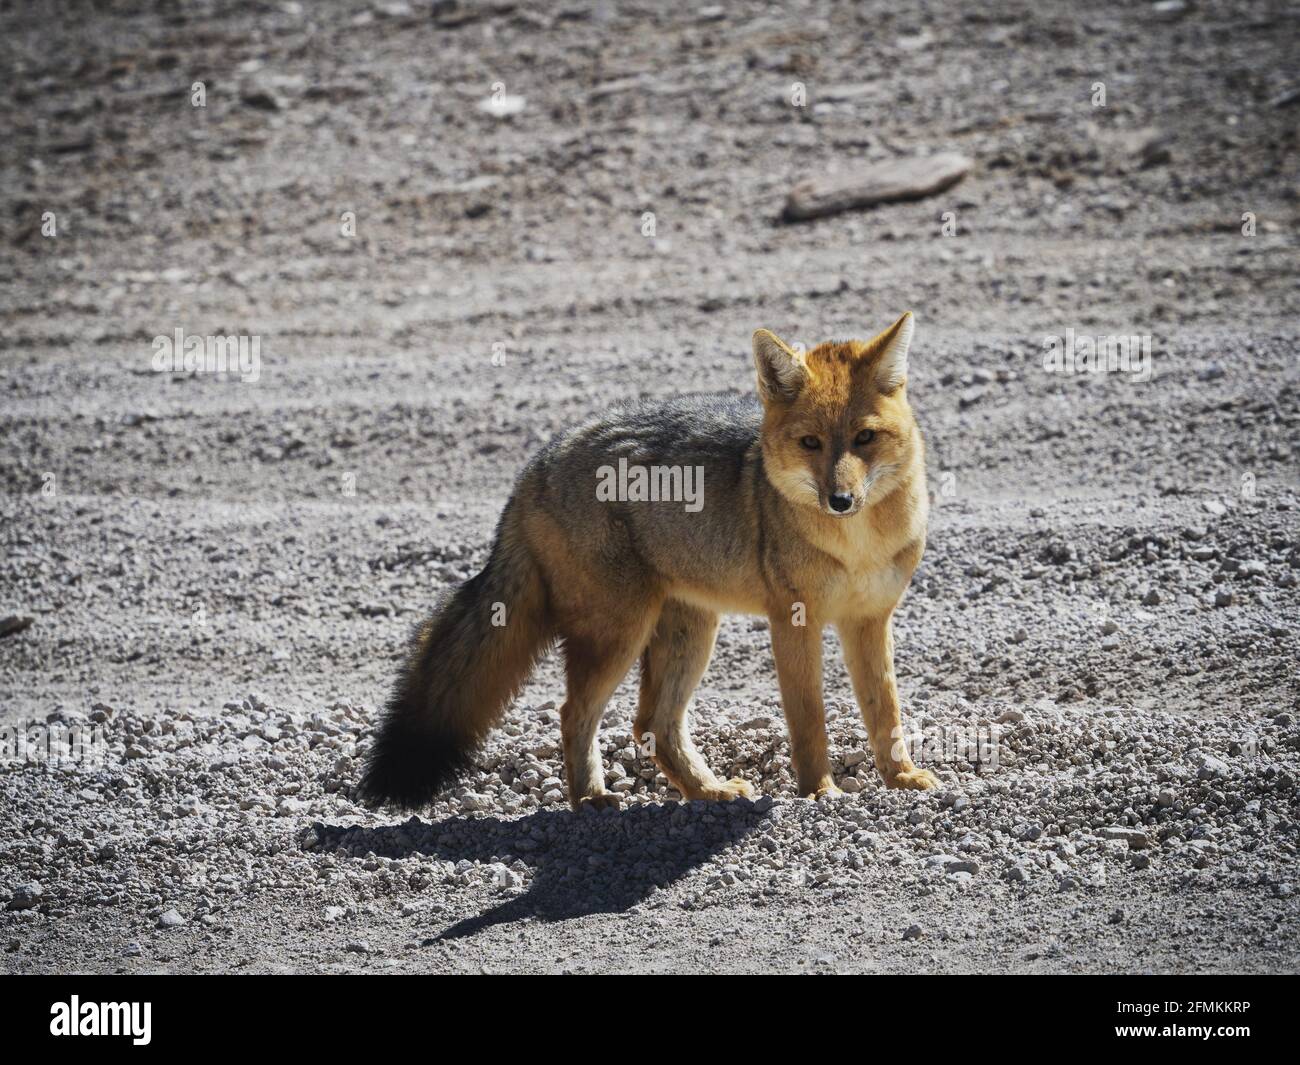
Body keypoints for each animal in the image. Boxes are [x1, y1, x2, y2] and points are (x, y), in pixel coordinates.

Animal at [360, 312, 938, 811]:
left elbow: (886, 710)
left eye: (864, 438)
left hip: (689, 632)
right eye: (810, 443)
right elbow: (809, 718)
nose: (840, 500)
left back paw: (706, 791)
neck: (855, 544)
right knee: (576, 713)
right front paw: (820, 790)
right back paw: (590, 799)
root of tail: (536, 466)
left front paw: (901, 777)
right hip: (621, 634)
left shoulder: (870, 620)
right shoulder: (794, 622)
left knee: (652, 725)